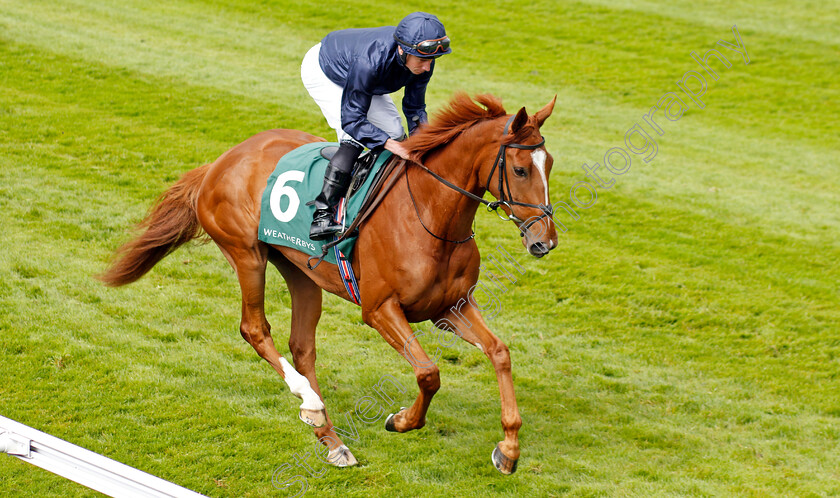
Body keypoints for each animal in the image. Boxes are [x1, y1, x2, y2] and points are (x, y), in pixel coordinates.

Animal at [100, 93, 556, 474]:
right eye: (520, 169)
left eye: (549, 165)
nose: (545, 241)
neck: (430, 215)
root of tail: (220, 162)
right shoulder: (379, 309)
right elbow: (428, 373)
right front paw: (402, 420)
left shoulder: (450, 307)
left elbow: (500, 352)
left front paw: (508, 448)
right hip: (247, 255)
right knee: (255, 329)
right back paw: (311, 402)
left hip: (301, 272)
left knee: (302, 346)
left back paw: (330, 437)